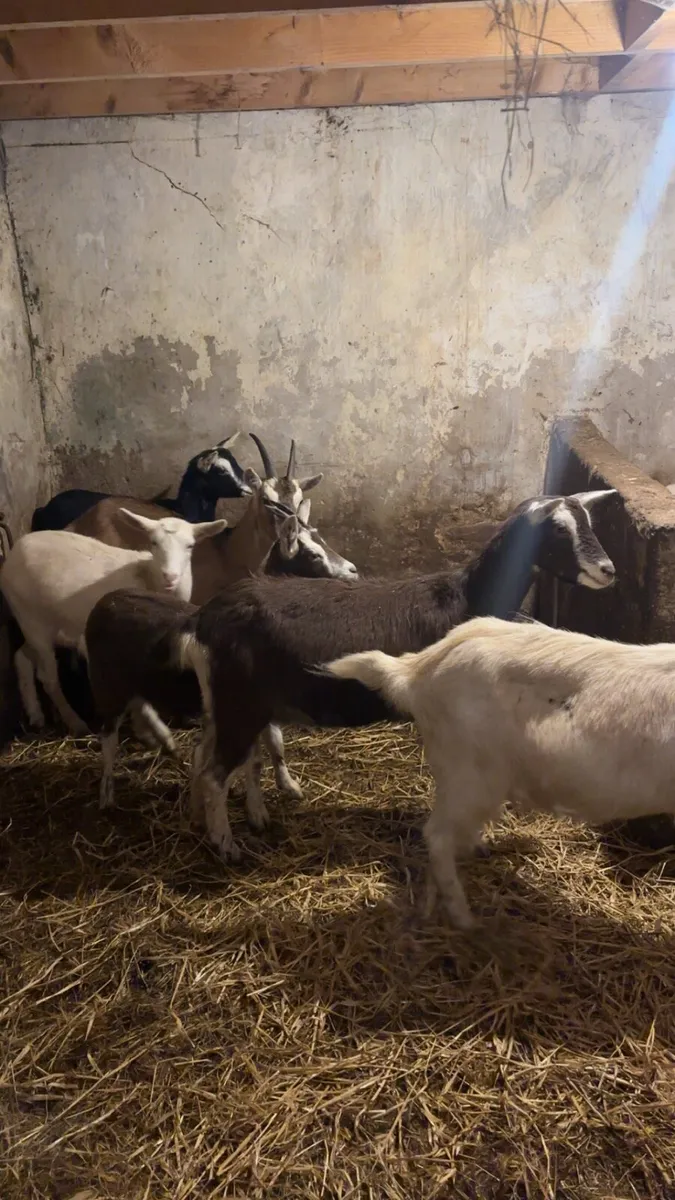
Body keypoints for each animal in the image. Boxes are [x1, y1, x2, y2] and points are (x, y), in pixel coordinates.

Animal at [0, 511, 226, 736]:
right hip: (32, 620)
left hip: (43, 625)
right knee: (48, 678)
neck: (147, 577)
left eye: (190, 546)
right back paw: (75, 723)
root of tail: (14, 551)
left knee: (21, 657)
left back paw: (35, 714)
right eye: (153, 542)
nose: (170, 576)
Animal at [177, 490, 617, 861]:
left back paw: (222, 819)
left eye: (588, 522)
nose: (608, 569)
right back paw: (226, 847)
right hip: (240, 703)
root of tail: (205, 620)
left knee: (210, 758)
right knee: (216, 773)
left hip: (229, 702)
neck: (467, 598)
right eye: (558, 529)